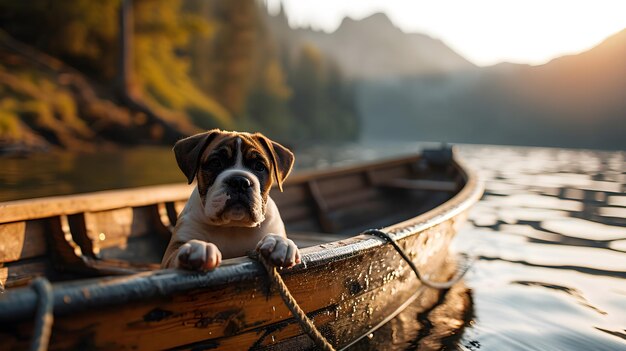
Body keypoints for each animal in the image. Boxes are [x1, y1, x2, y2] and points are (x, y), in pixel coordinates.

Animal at [160, 131, 298, 270]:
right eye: (215, 163)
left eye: (259, 166)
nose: (239, 181)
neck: (232, 225)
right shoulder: (169, 256)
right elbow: (177, 254)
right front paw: (197, 246)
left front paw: (278, 242)